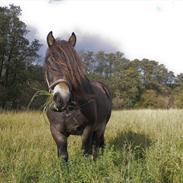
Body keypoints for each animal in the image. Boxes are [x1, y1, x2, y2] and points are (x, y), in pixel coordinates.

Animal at [44, 31, 112, 162]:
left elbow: (85, 152)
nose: (60, 99)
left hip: (101, 127)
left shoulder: (88, 129)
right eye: (49, 62)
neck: (68, 110)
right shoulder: (56, 131)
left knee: (96, 145)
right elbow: (63, 155)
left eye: (73, 65)